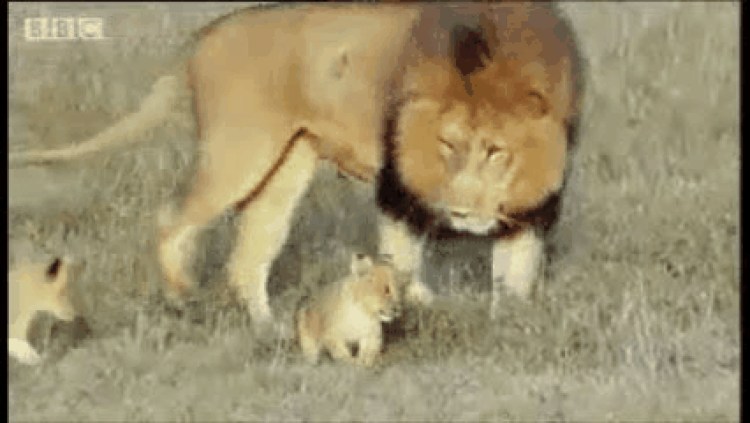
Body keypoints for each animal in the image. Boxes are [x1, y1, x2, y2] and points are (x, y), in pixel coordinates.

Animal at [9, 3, 583, 326]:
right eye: (446, 145)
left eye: (496, 151)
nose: (460, 212)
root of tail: (204, 36)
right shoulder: (397, 185)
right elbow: (402, 253)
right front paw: (414, 302)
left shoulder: (537, 203)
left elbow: (517, 270)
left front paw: (510, 322)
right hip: (237, 151)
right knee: (171, 219)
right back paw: (180, 295)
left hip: (284, 169)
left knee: (247, 256)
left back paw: (271, 330)